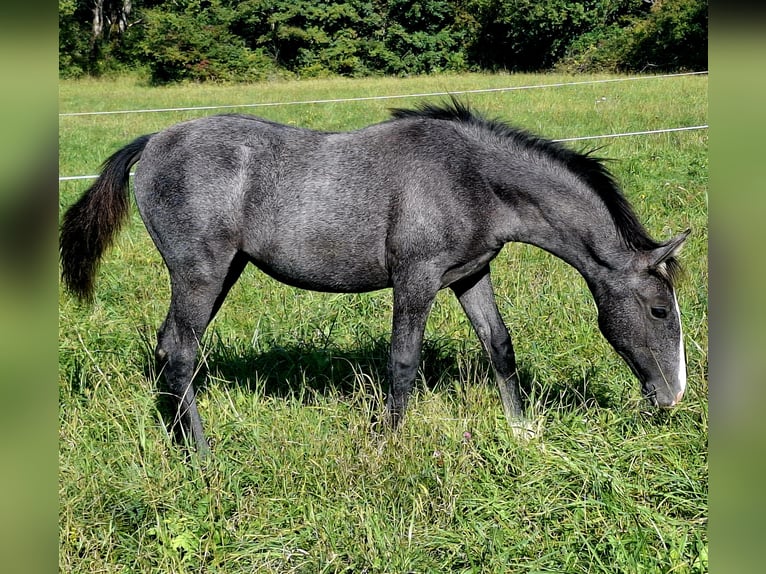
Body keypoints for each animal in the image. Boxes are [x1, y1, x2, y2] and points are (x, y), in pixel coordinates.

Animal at [60, 100, 689, 455]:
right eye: (660, 309)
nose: (673, 397)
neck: (471, 179)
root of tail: (153, 142)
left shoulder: (470, 275)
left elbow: (499, 344)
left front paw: (521, 431)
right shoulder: (416, 279)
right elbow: (403, 361)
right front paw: (389, 446)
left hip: (223, 272)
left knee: (169, 348)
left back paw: (178, 439)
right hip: (200, 272)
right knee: (183, 352)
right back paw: (203, 455)